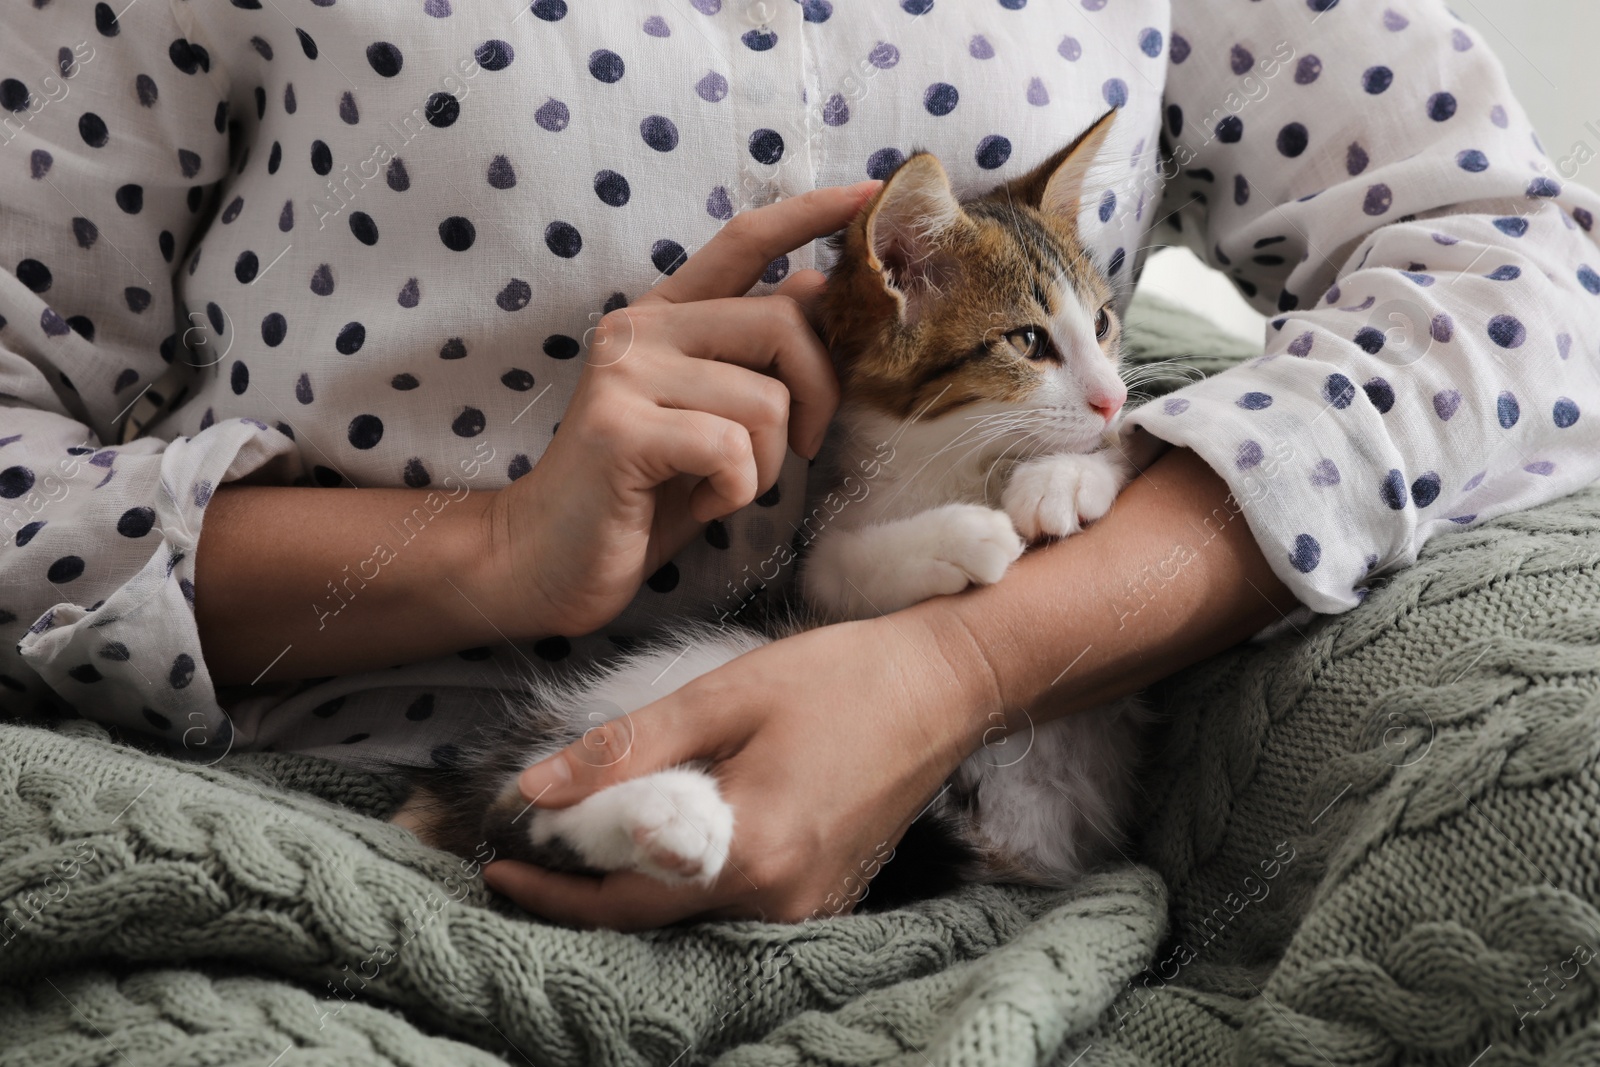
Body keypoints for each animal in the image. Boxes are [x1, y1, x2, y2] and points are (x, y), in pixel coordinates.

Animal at [400, 108, 1152, 908]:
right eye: (1028, 340)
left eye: (1102, 325)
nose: (1111, 395)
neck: (963, 460)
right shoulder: (818, 585)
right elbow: (835, 562)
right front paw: (962, 536)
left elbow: (1133, 444)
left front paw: (1063, 479)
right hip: (703, 661)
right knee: (520, 806)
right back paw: (671, 814)